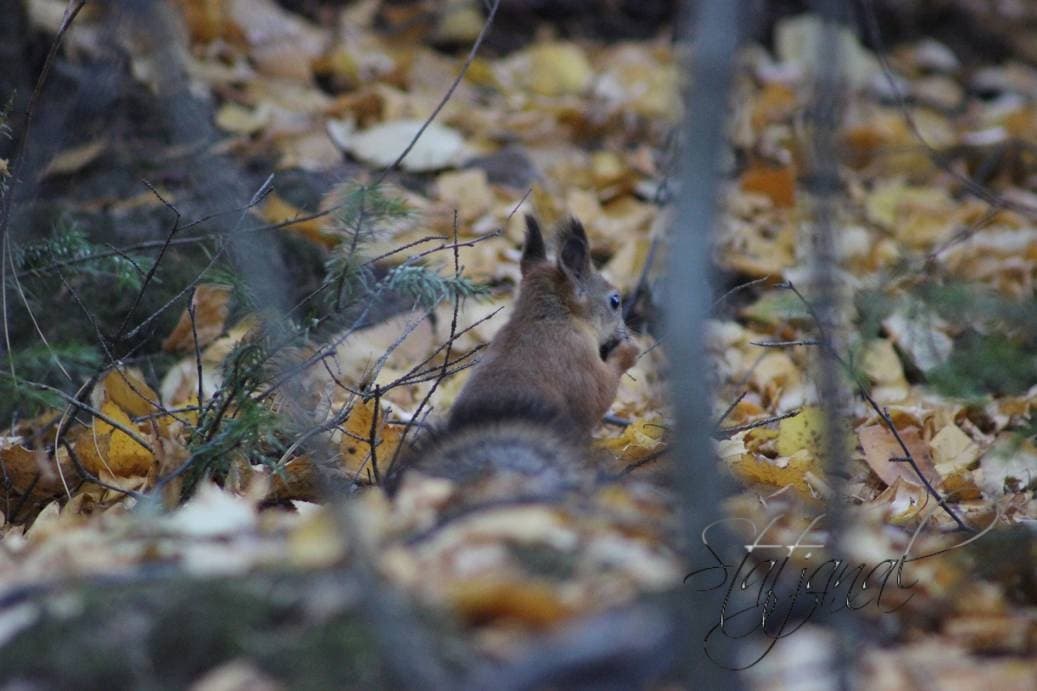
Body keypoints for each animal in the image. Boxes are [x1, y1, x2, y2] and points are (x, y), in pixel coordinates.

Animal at [385, 215, 634, 495]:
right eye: (615, 301)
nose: (624, 331)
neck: (546, 318)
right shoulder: (578, 359)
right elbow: (600, 395)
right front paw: (629, 351)